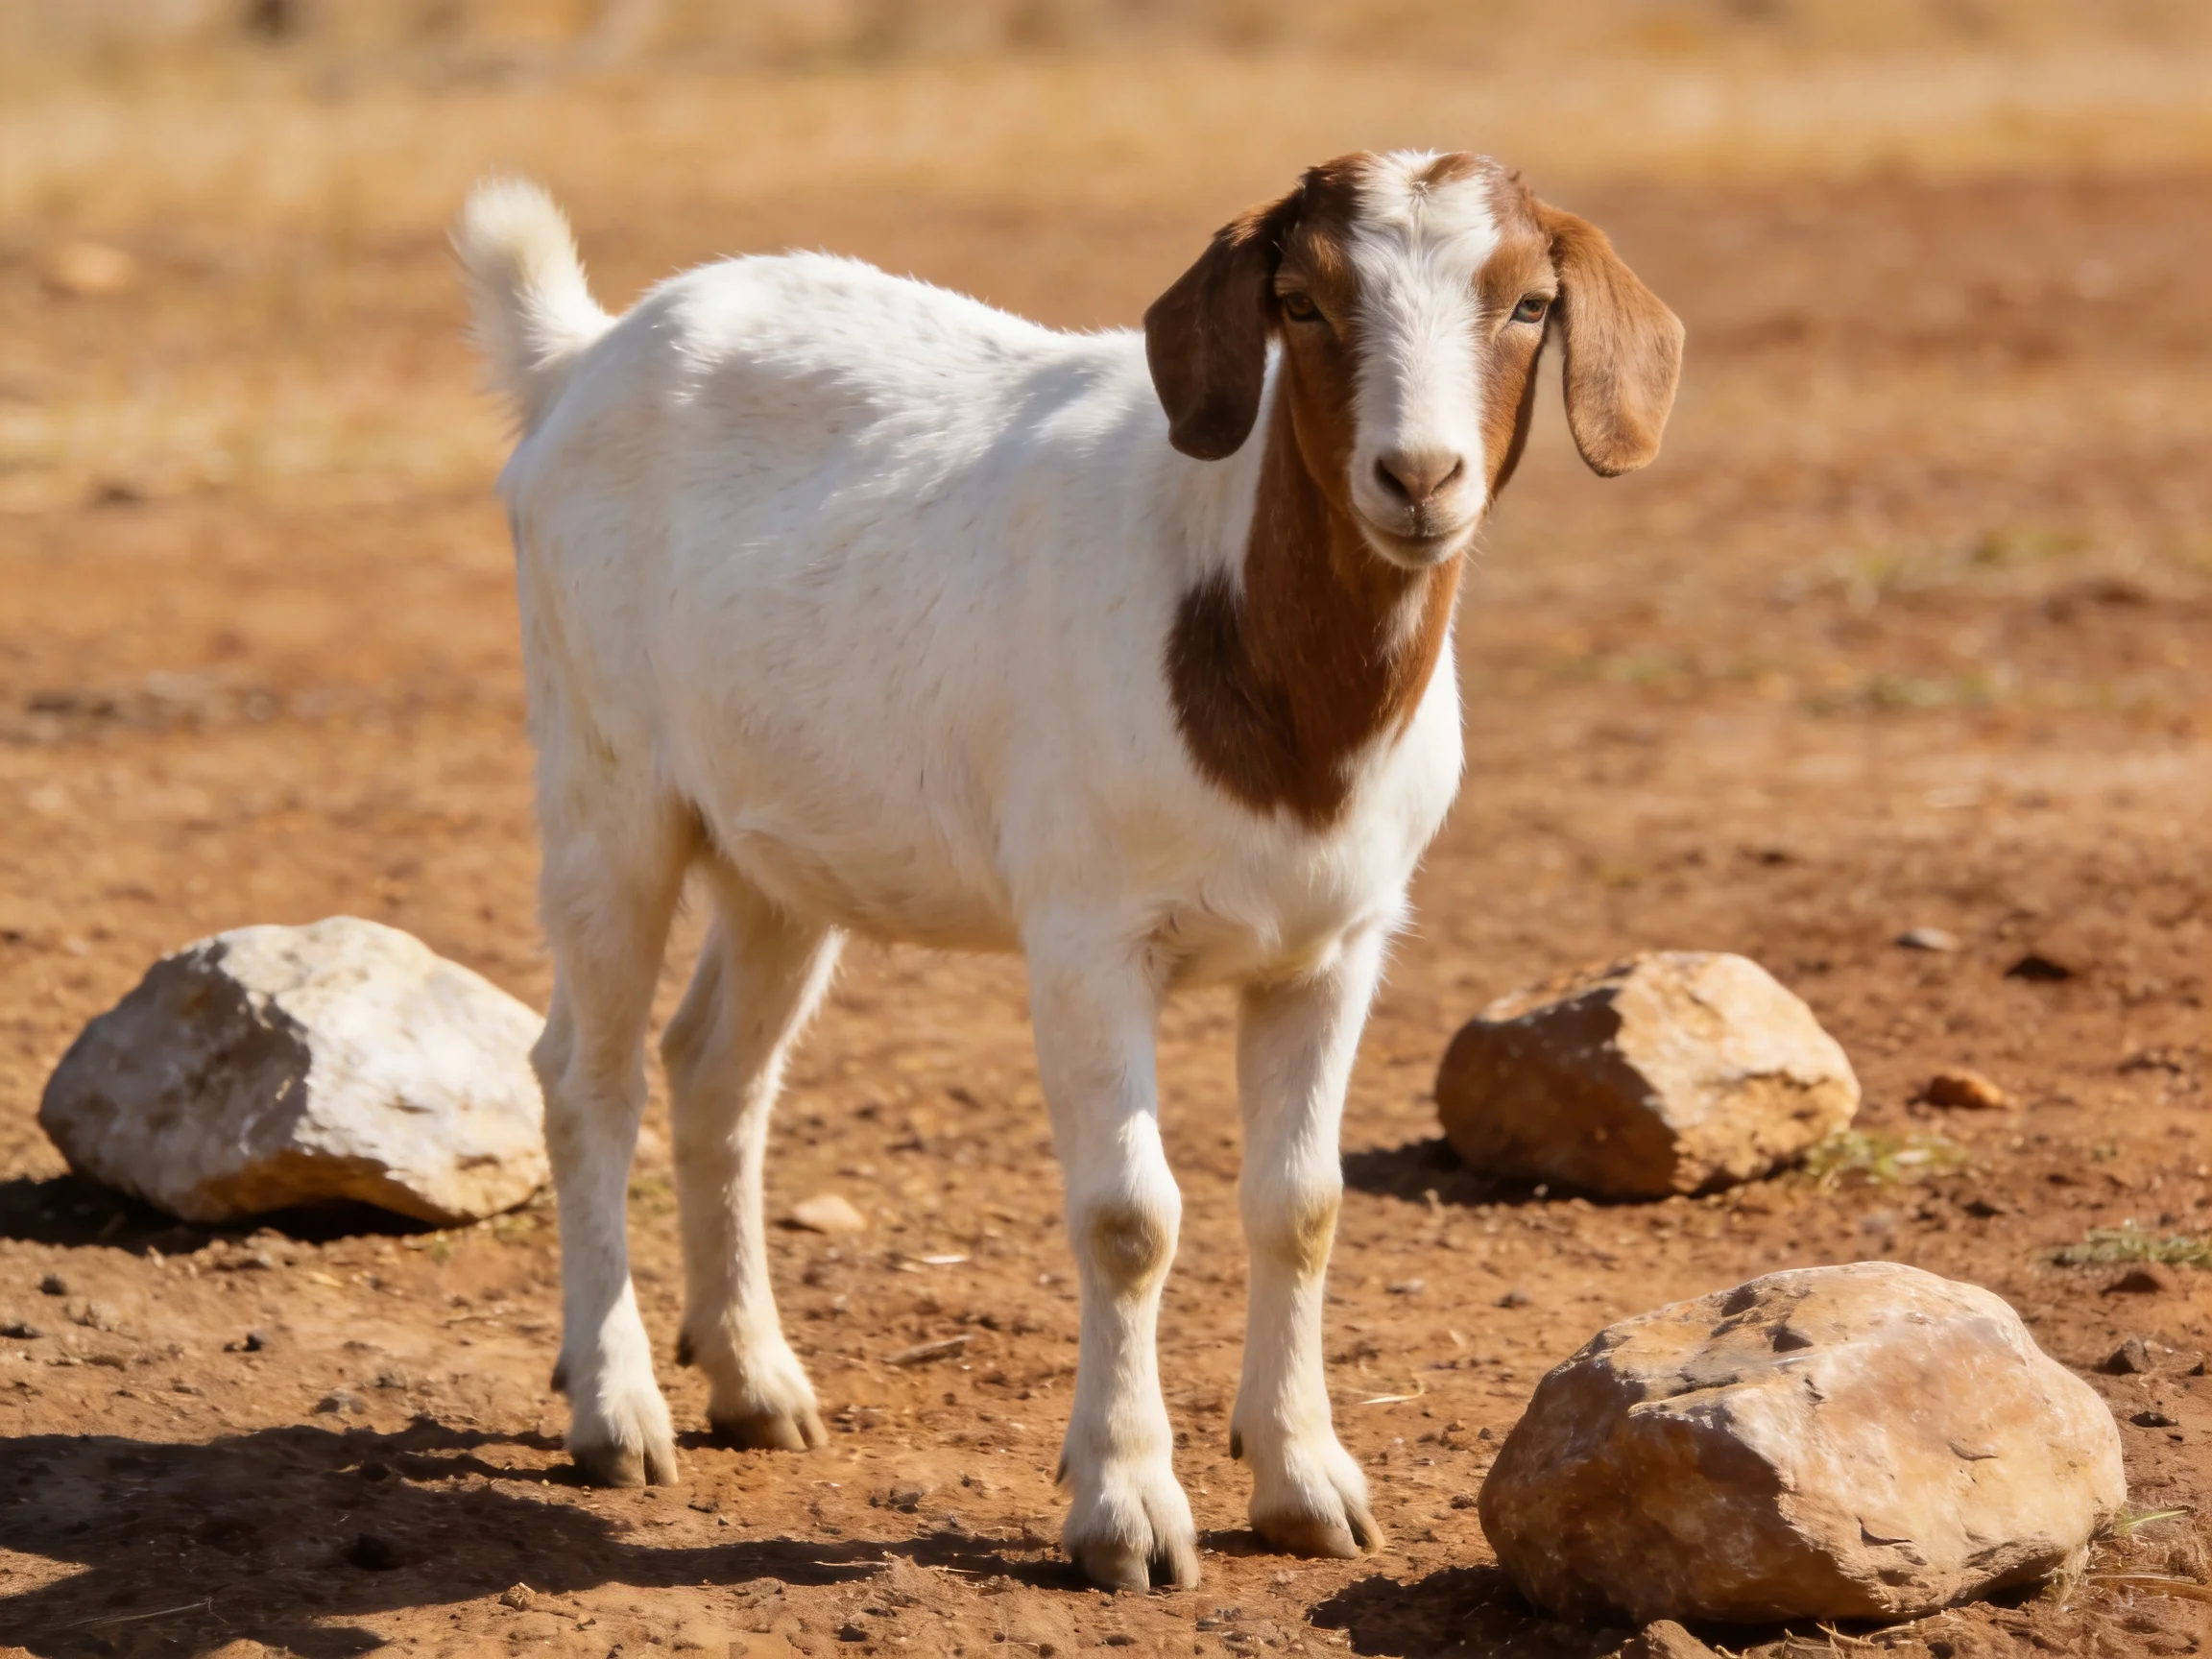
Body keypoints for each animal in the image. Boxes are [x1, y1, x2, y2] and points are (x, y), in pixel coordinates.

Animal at [455, 151, 1682, 1592]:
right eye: (1304, 301)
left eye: (1531, 303)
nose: (1420, 476)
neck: (1253, 657)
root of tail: (580, 357)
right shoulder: (1092, 937)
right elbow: (1129, 1217)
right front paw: (1129, 1510)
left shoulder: (1337, 946)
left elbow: (1304, 1206)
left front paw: (1307, 1485)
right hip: (607, 783)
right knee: (586, 1076)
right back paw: (617, 1410)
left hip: (785, 848)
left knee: (715, 1068)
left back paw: (755, 1383)